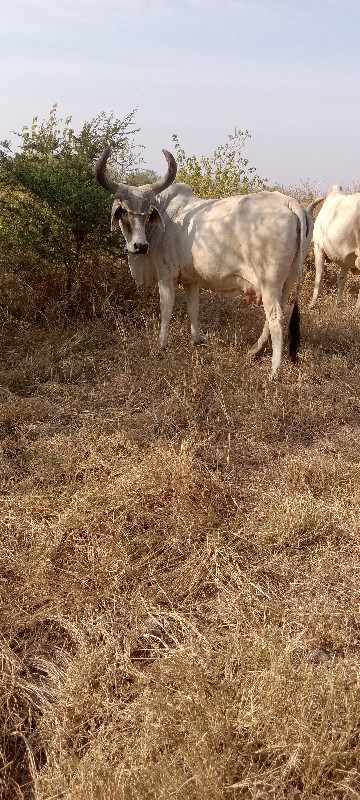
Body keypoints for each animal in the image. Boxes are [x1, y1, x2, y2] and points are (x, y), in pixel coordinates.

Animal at [95, 146, 320, 376]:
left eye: (148, 212)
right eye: (124, 211)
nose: (139, 246)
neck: (163, 221)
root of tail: (289, 203)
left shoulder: (166, 277)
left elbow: (166, 310)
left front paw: (162, 345)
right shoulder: (190, 280)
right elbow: (193, 309)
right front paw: (195, 341)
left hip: (269, 282)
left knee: (276, 317)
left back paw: (274, 370)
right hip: (288, 280)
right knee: (277, 313)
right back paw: (255, 351)